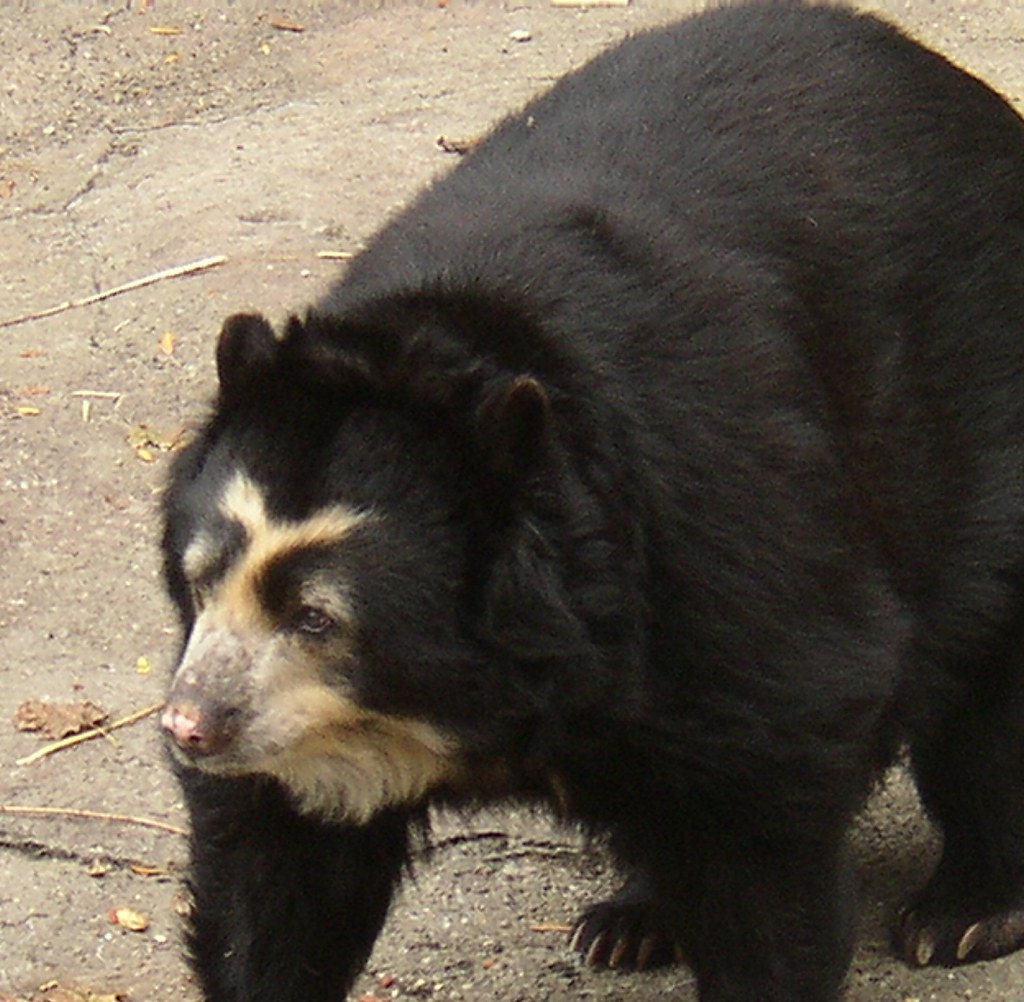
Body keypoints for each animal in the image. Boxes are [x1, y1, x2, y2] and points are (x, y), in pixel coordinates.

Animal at [159, 2, 1024, 1001]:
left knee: (985, 702)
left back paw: (966, 911)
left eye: (317, 618)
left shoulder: (729, 557)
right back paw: (633, 922)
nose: (190, 725)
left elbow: (763, 829)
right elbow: (275, 864)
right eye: (199, 578)